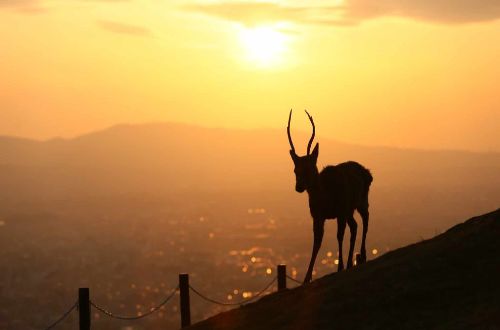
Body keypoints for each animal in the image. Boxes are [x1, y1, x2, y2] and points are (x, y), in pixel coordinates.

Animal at [288, 109, 374, 284]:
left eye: (310, 167)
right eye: (295, 170)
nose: (298, 187)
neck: (325, 198)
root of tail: (369, 173)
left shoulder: (340, 211)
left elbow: (339, 236)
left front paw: (339, 267)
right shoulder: (317, 216)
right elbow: (317, 241)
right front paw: (306, 278)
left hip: (361, 200)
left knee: (366, 219)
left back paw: (362, 255)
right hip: (349, 210)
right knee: (354, 226)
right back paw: (350, 262)